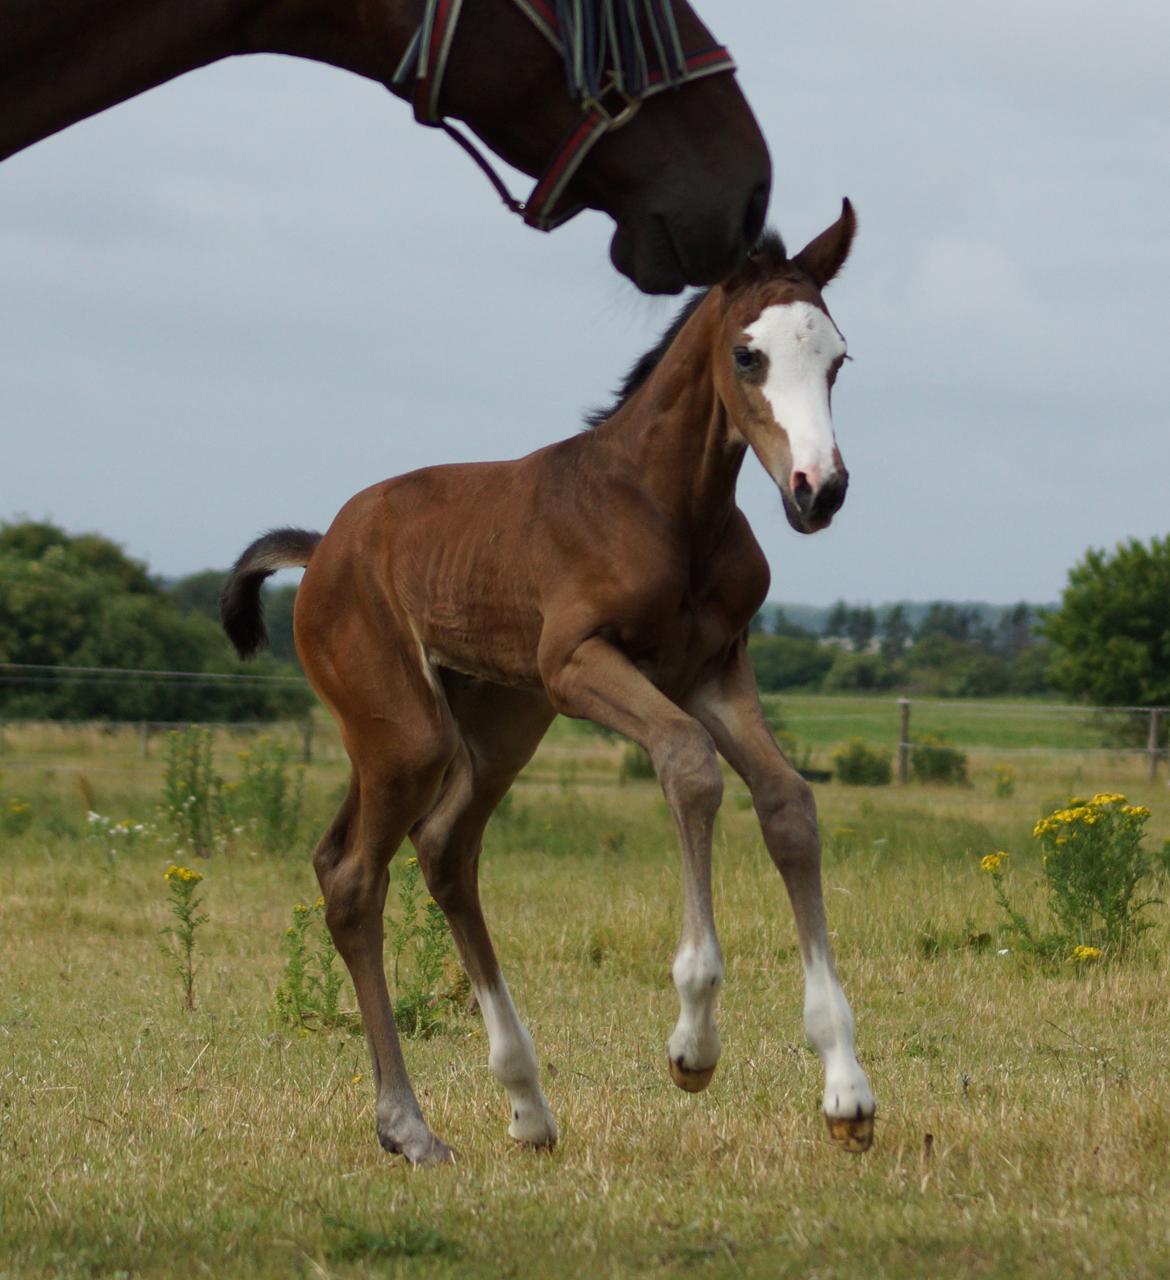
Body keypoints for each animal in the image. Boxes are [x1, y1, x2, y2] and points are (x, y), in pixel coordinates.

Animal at [221, 202, 875, 1172]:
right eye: (748, 355)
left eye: (836, 358)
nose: (818, 490)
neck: (668, 508)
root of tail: (322, 548)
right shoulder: (579, 665)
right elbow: (690, 768)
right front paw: (693, 1044)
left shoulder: (716, 669)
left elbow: (788, 803)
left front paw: (846, 1090)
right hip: (407, 731)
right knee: (352, 877)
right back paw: (409, 1127)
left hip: (496, 725)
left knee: (443, 848)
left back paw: (527, 1104)